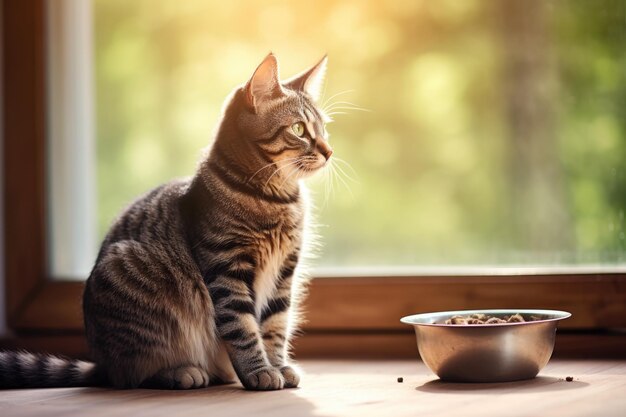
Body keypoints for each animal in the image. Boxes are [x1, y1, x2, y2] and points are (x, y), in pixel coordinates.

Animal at [0, 52, 332, 390]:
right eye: (299, 129)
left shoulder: (284, 272)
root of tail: (100, 364)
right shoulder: (227, 269)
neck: (276, 199)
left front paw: (277, 365)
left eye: (323, 129)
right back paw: (180, 372)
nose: (329, 151)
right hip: (130, 288)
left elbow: (275, 325)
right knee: (132, 373)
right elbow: (243, 327)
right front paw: (259, 370)